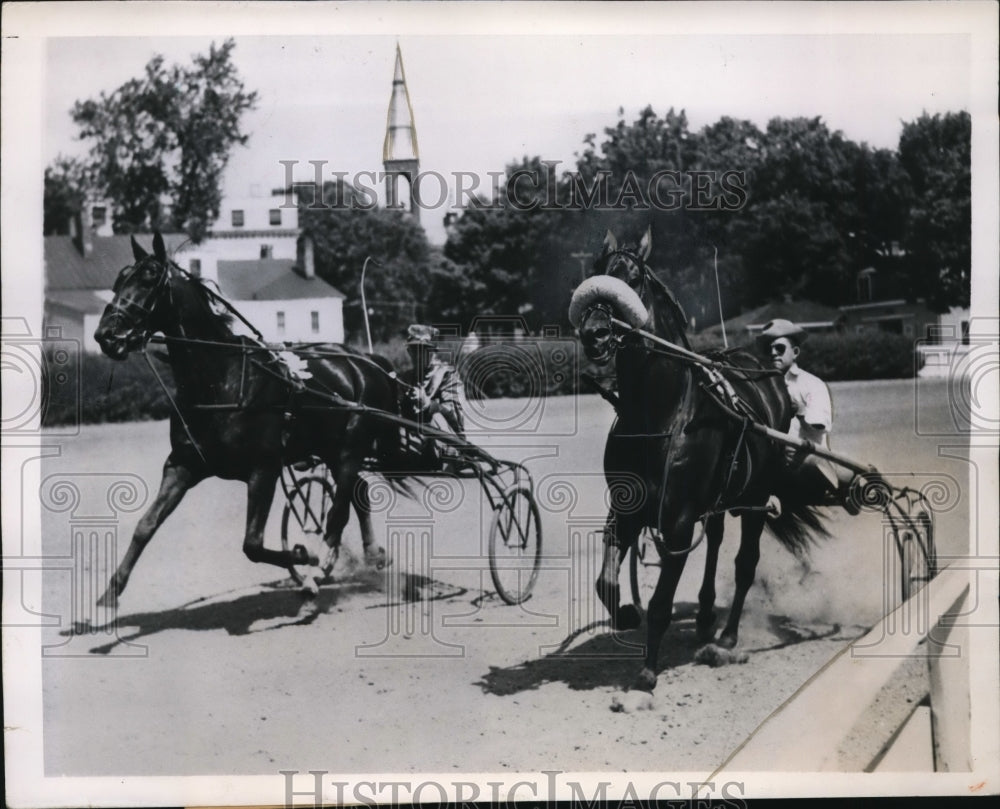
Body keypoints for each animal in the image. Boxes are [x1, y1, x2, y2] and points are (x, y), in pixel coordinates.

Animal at [93, 230, 402, 604]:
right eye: (119, 279)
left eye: (149, 277)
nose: (106, 335)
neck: (221, 380)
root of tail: (367, 362)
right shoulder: (183, 464)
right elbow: (145, 525)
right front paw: (109, 594)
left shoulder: (263, 468)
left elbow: (252, 545)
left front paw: (304, 555)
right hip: (333, 448)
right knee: (356, 493)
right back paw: (372, 554)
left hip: (350, 447)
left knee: (338, 511)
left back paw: (318, 569)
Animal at [576, 227, 824, 688]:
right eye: (594, 274)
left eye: (632, 278)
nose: (595, 333)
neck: (660, 413)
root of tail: (763, 369)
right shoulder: (626, 507)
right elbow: (605, 582)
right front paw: (625, 613)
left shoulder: (677, 520)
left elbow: (661, 601)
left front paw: (648, 671)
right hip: (720, 498)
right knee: (715, 540)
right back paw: (707, 615)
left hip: (756, 495)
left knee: (745, 563)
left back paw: (726, 636)